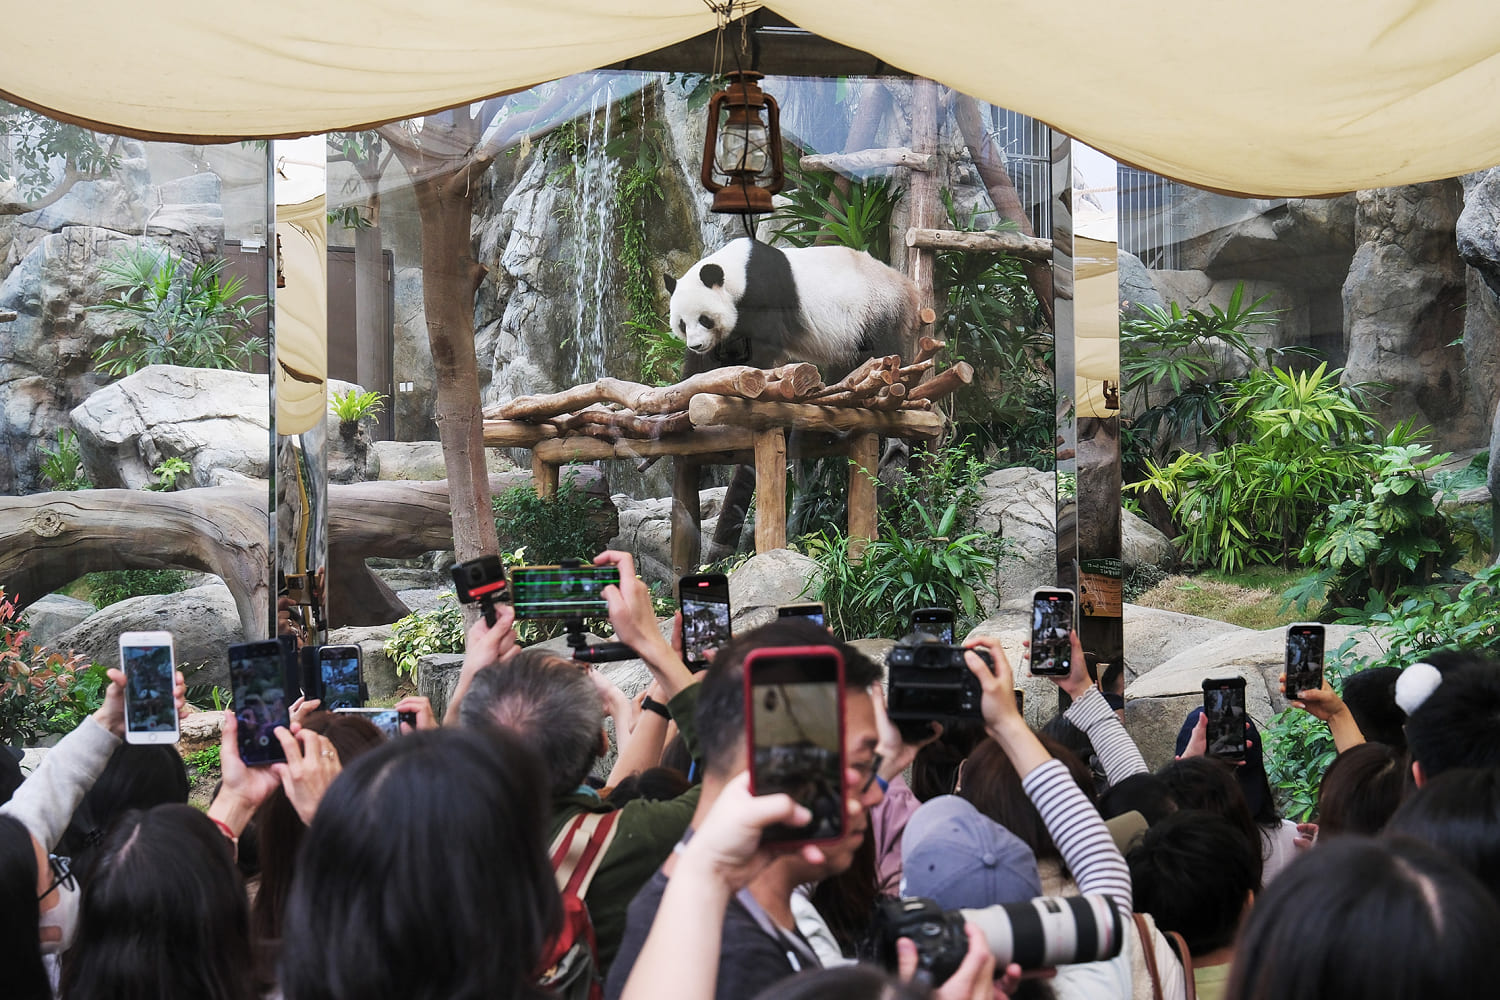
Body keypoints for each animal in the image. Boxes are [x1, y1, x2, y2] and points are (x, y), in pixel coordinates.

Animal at [666, 238, 918, 379]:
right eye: (682, 324)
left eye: (705, 319)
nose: (696, 345)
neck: (737, 271)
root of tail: (907, 286)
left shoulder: (762, 291)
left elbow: (764, 343)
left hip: (877, 307)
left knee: (883, 348)